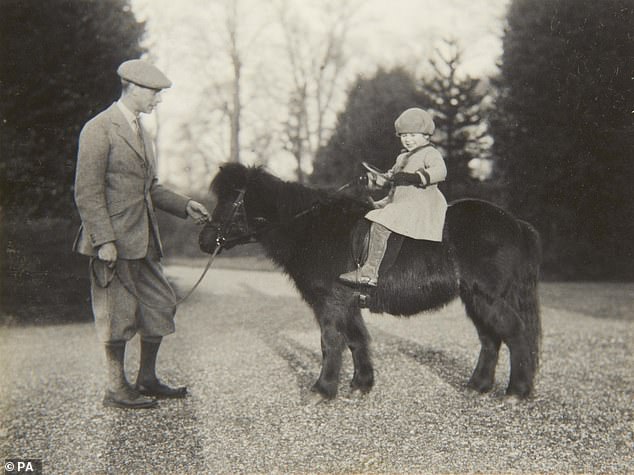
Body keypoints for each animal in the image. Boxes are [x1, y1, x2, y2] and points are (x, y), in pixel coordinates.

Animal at [200, 164, 540, 402]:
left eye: (230, 200)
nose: (204, 239)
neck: (312, 227)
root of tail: (514, 223)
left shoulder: (331, 303)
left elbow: (331, 342)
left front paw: (322, 390)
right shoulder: (347, 304)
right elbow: (356, 340)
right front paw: (361, 384)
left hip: (487, 297)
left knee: (514, 333)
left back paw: (516, 391)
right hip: (475, 298)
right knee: (490, 339)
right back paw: (478, 386)